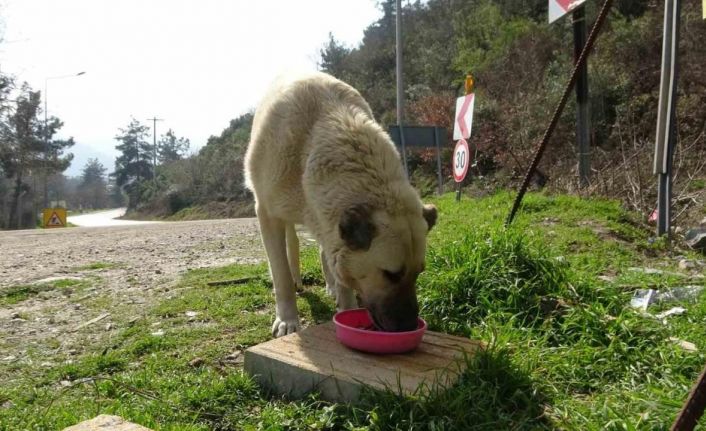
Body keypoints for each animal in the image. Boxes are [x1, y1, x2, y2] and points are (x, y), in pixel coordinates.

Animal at [246, 73, 434, 338]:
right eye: (391, 274)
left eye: (419, 272)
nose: (408, 326)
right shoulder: (266, 213)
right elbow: (280, 274)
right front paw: (287, 319)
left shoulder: (328, 223)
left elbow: (340, 269)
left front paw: (346, 305)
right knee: (292, 244)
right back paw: (297, 281)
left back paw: (332, 287)